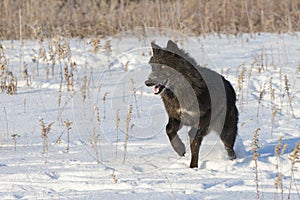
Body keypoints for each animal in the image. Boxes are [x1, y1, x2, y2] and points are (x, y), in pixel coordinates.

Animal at [145, 39, 239, 168]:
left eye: (163, 66)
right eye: (153, 67)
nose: (147, 82)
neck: (180, 90)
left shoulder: (204, 118)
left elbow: (193, 138)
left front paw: (192, 165)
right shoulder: (176, 117)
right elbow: (168, 129)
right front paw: (180, 149)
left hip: (226, 130)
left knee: (229, 147)